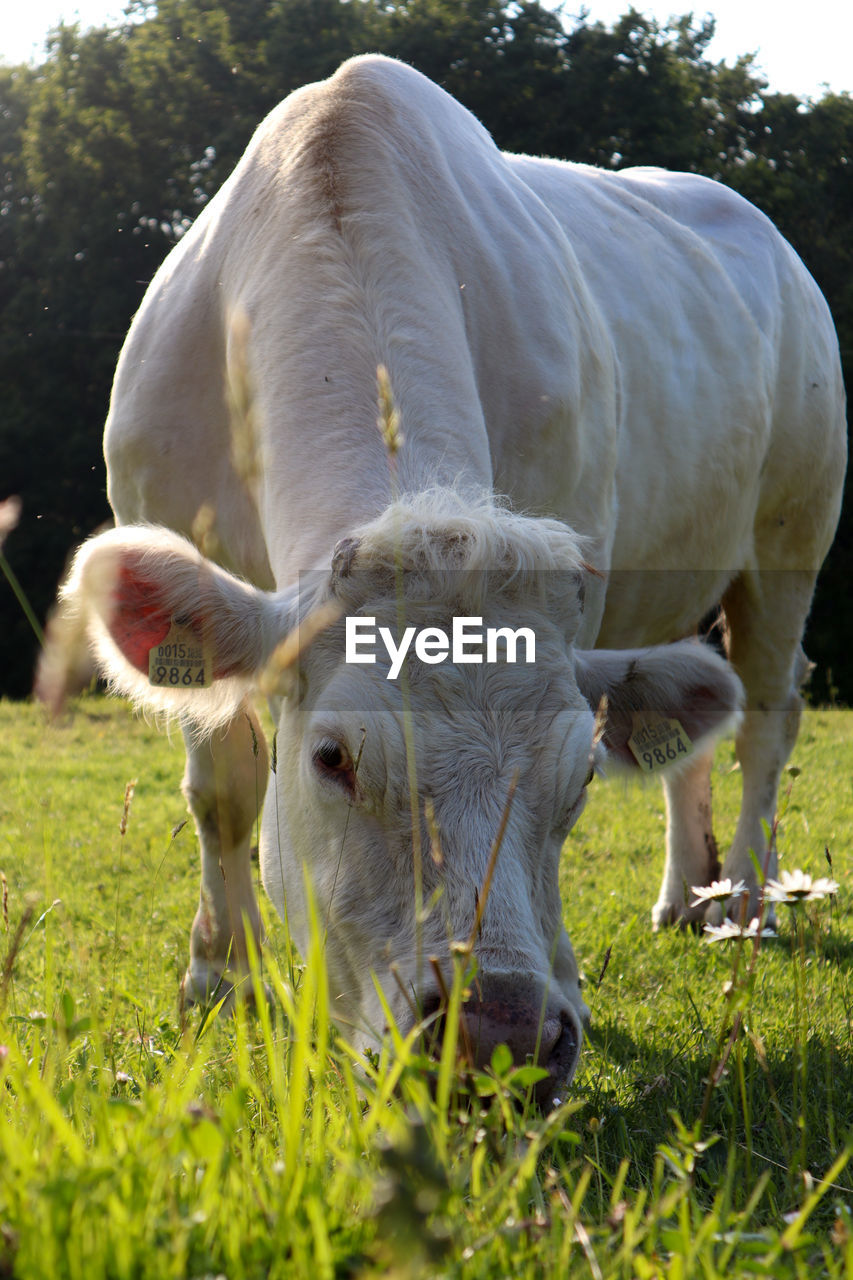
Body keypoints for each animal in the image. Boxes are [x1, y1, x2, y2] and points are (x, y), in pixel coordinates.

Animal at [48, 55, 845, 1105]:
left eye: (580, 773)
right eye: (331, 759)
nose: (496, 1034)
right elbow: (222, 789)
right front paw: (223, 977)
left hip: (790, 531)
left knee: (762, 717)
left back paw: (742, 901)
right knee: (691, 740)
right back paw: (685, 894)